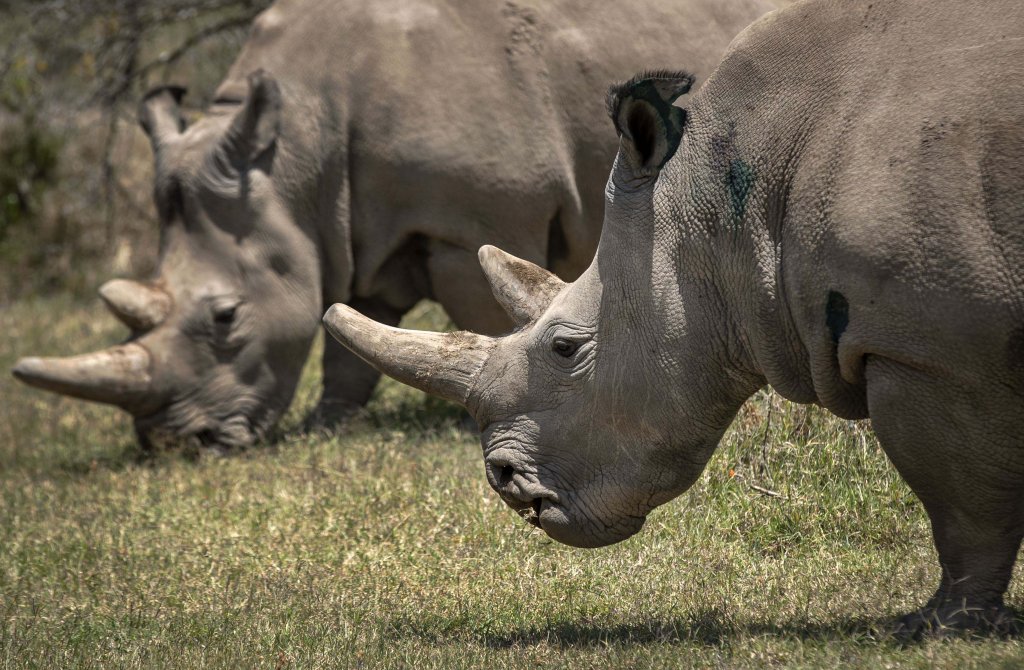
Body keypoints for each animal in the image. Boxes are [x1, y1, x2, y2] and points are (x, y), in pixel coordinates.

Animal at [9, 0, 770, 450]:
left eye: (225, 318)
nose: (178, 445)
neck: (295, 152)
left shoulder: (471, 219)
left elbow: (480, 315)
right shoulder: (349, 228)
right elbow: (348, 335)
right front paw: (327, 427)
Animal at [323, 0, 1024, 635]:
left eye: (565, 348)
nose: (504, 482)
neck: (728, 213)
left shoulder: (932, 350)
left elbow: (961, 500)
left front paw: (940, 625)